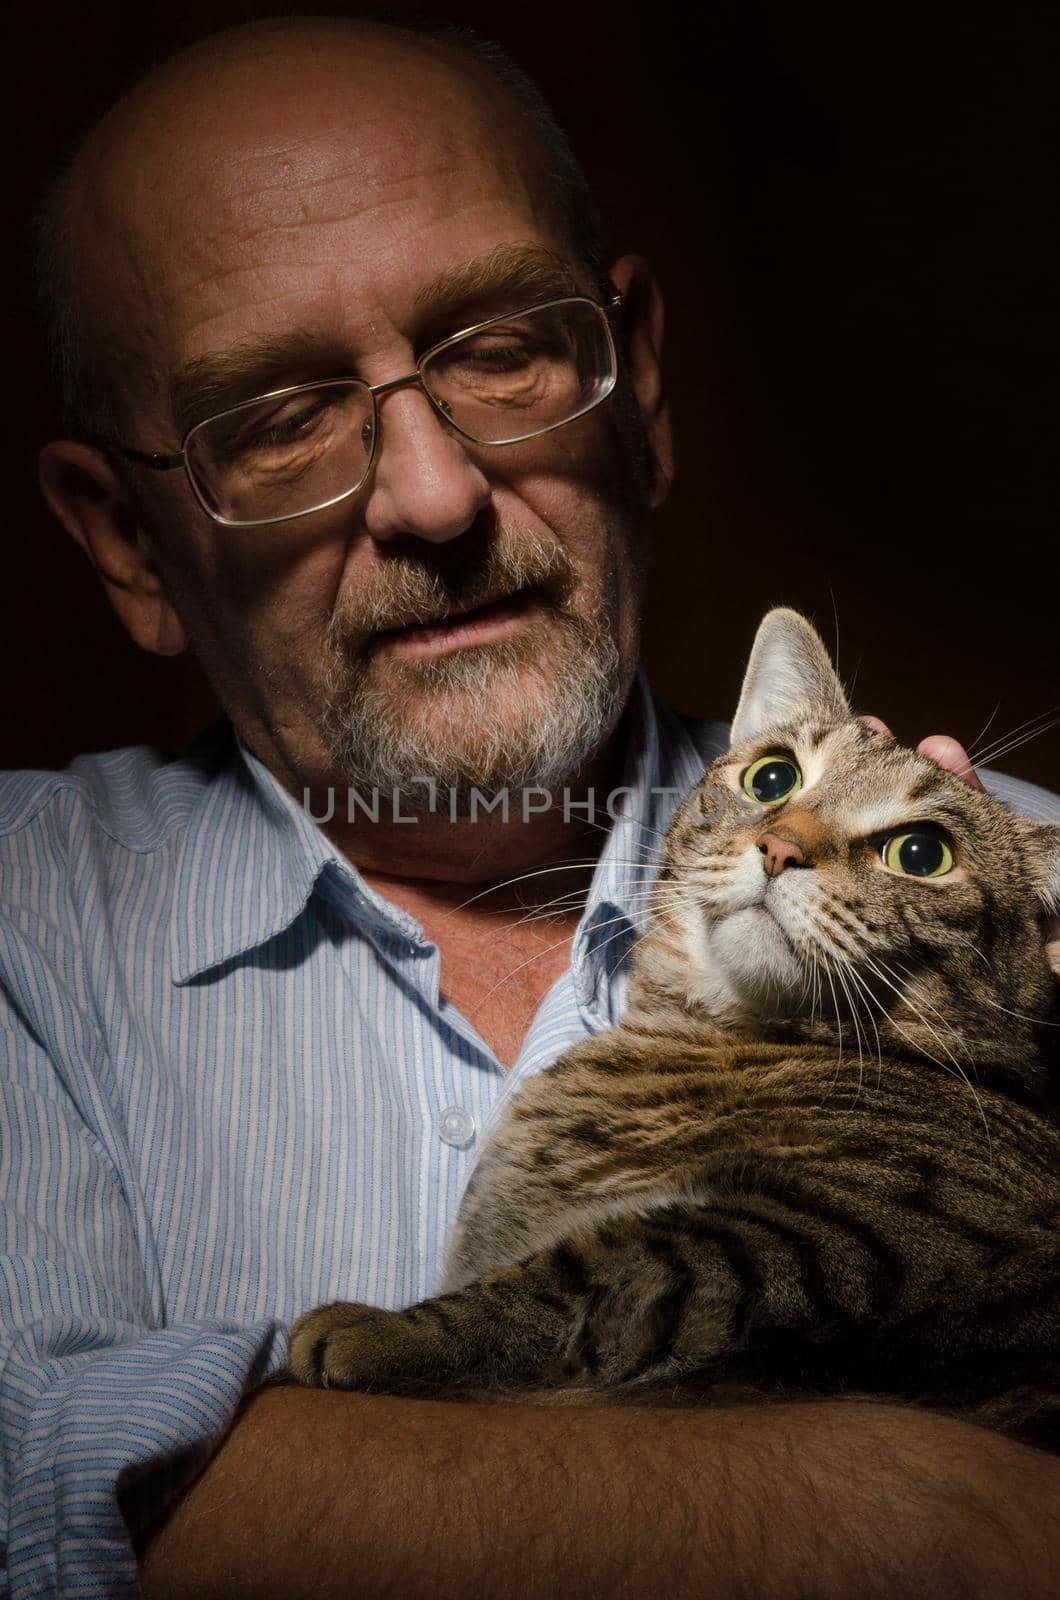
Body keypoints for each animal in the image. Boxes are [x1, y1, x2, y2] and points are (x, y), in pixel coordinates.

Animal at [291, 611, 1060, 1452]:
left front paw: (383, 1331)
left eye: (921, 853)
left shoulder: (845, 1240)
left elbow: (573, 1274)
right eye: (772, 778)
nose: (782, 848)